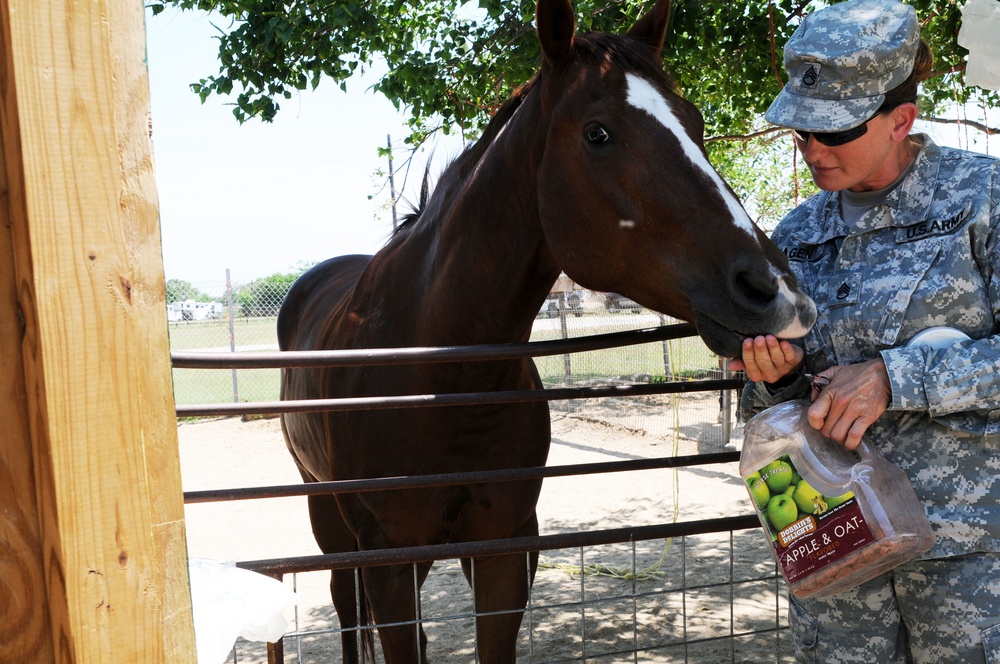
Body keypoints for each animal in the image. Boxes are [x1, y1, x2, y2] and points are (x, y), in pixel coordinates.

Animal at [278, 0, 816, 660]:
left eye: (694, 121)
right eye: (598, 132)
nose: (776, 292)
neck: (438, 374)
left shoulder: (505, 549)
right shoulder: (389, 558)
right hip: (327, 515)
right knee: (343, 600)